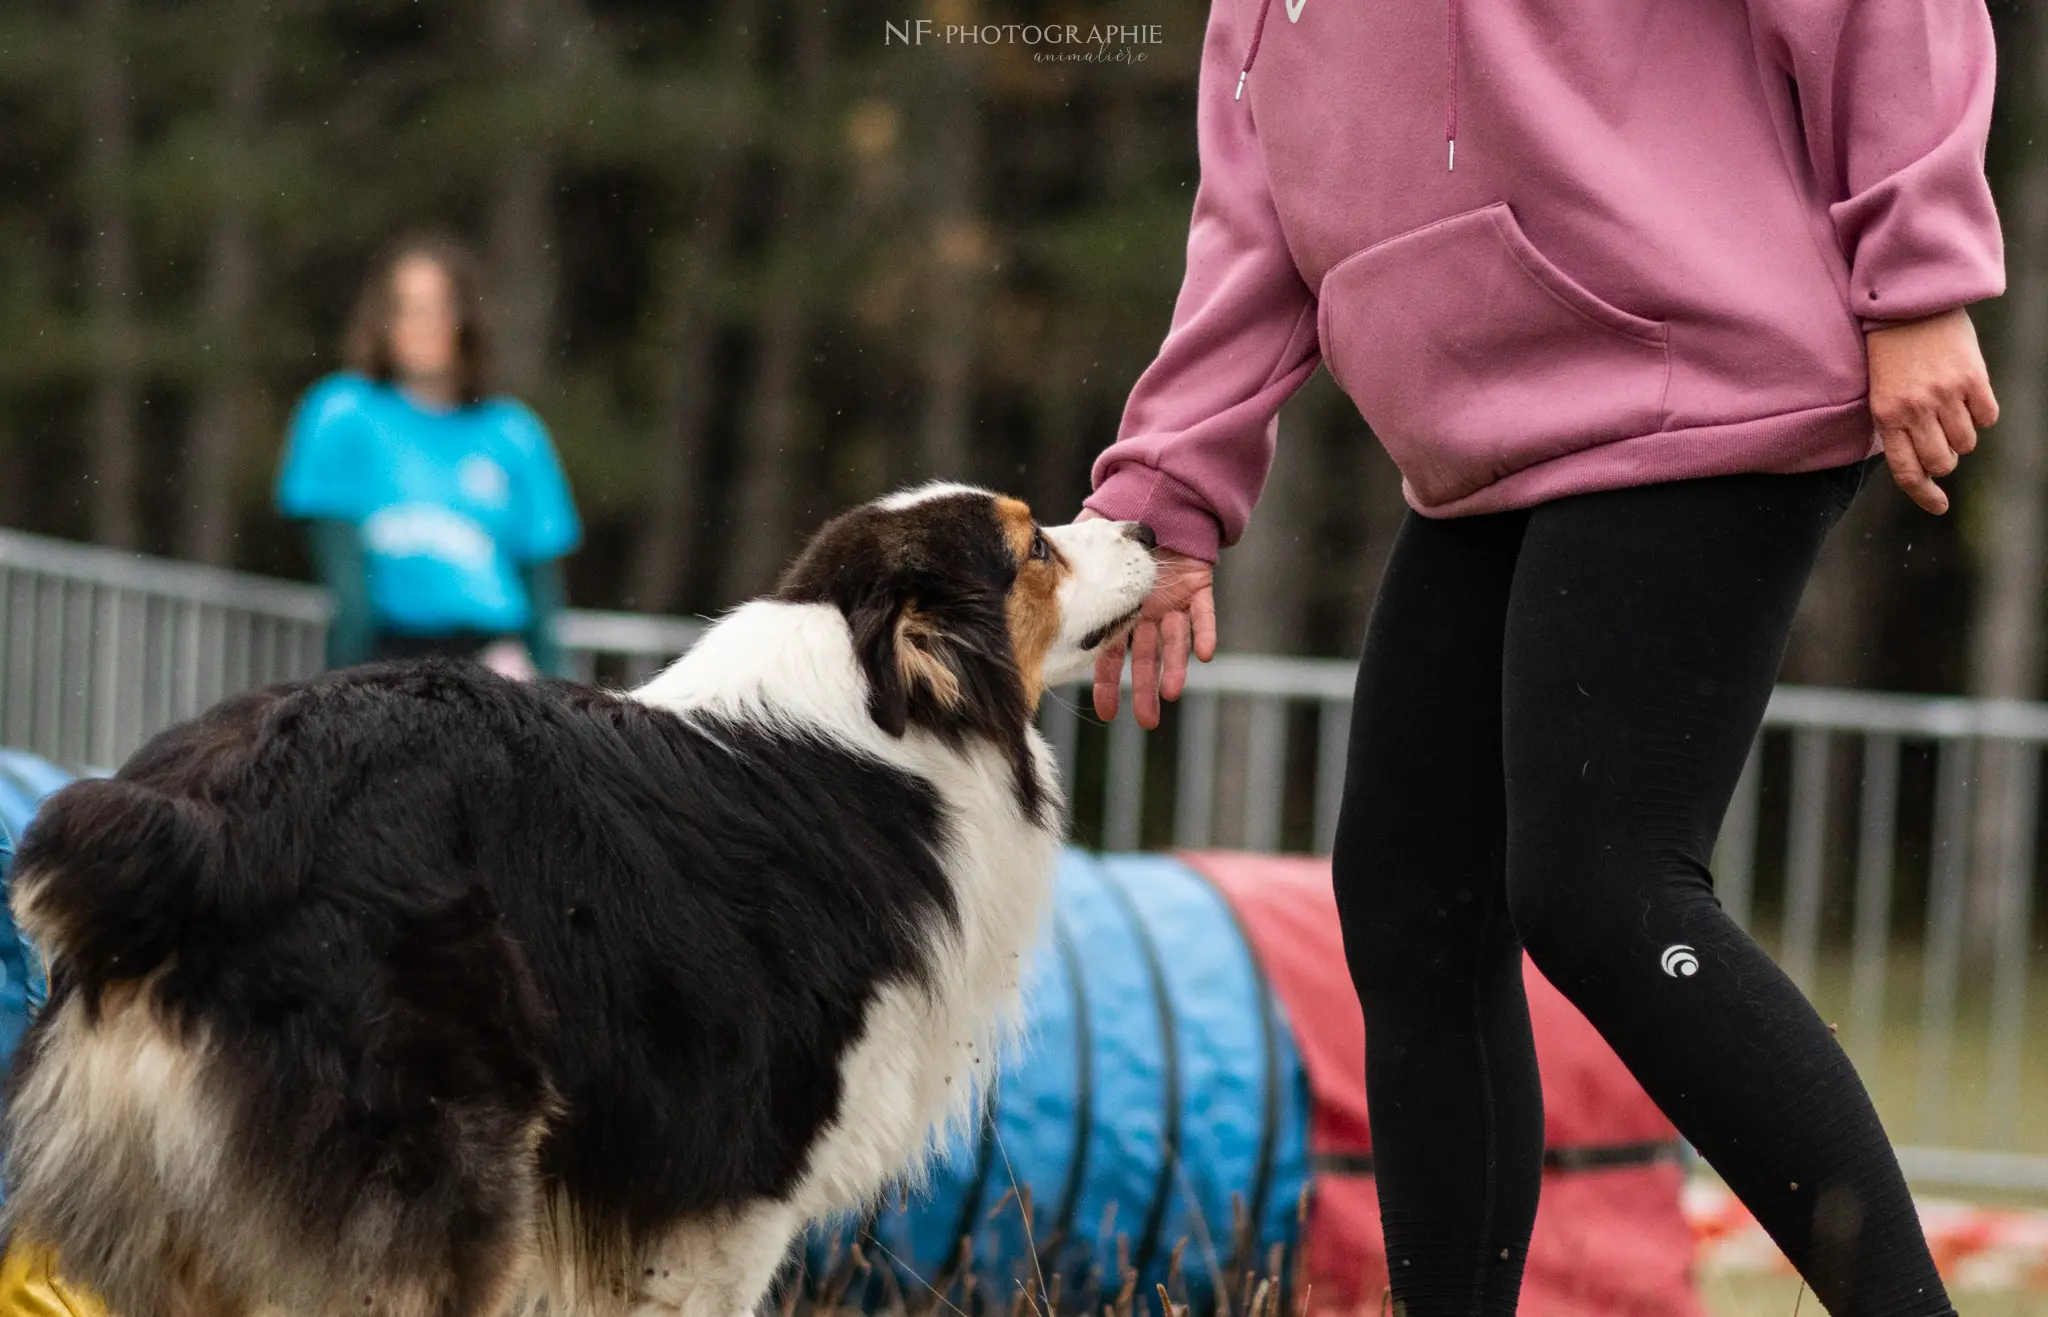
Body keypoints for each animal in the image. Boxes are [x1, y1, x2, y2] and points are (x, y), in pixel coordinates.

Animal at [0, 483, 1163, 1317]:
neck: (885, 707)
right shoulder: (729, 1186)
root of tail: (202, 826)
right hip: (442, 1167)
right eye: (1035, 546)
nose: (1150, 521)